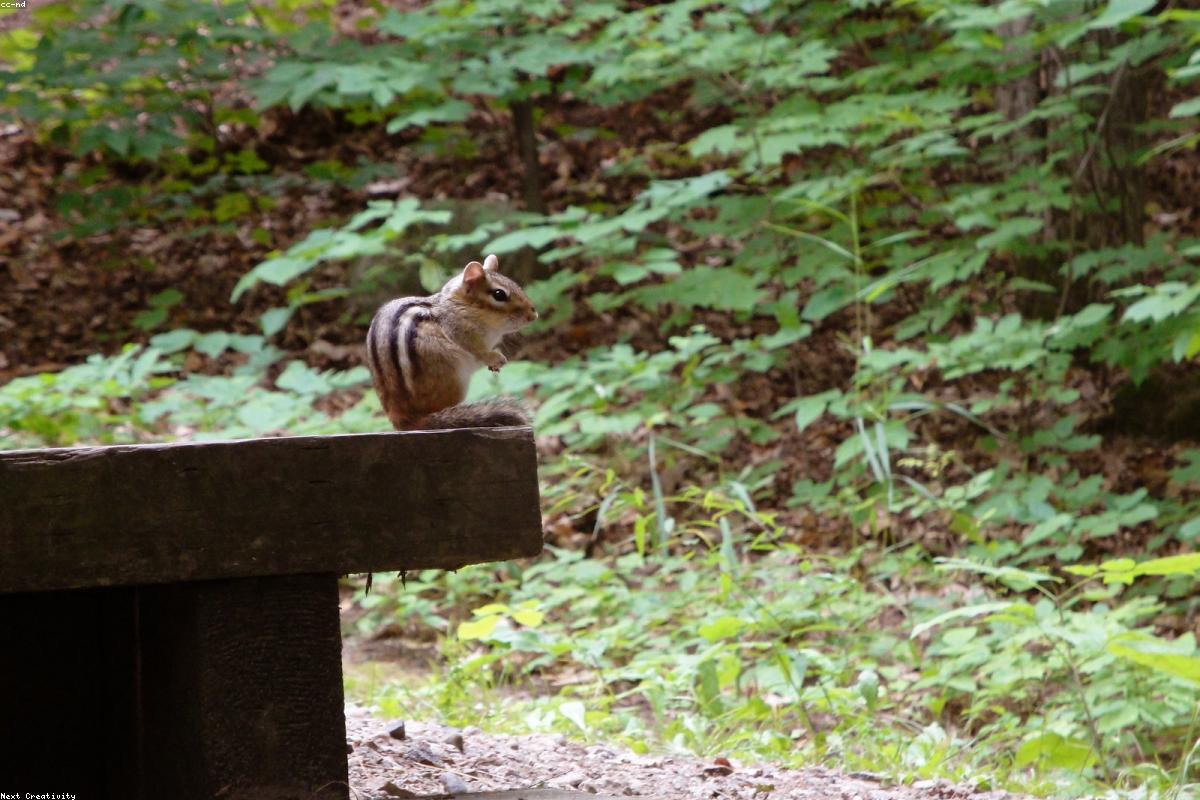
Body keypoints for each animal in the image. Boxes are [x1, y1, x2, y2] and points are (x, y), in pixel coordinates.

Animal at [365, 253, 538, 430]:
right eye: (499, 294)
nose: (533, 315)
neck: (461, 305)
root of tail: (403, 418)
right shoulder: (460, 331)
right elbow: (478, 351)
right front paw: (496, 358)